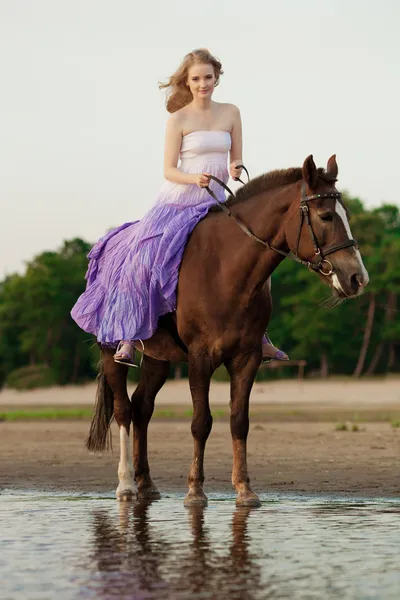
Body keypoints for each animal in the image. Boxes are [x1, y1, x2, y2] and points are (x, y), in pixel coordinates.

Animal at [86, 154, 370, 506]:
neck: (226, 270)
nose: (357, 278)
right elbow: (201, 422)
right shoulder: (200, 357)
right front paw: (195, 489)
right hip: (110, 351)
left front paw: (244, 488)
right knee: (124, 409)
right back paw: (126, 484)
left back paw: (146, 483)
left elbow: (239, 421)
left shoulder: (246, 358)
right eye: (326, 215)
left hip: (158, 359)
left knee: (142, 408)